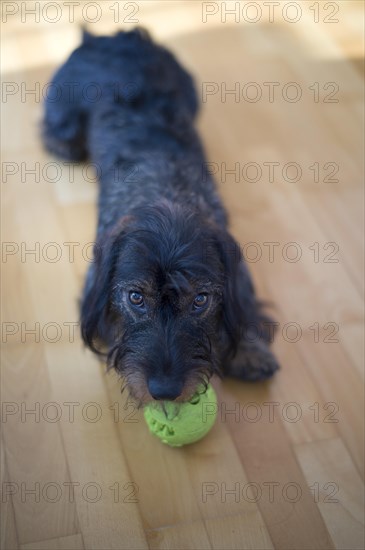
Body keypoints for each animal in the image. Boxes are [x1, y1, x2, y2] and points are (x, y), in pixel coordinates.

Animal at [41, 29, 278, 406]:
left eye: (200, 300)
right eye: (136, 298)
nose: (164, 391)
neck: (165, 191)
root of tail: (112, 37)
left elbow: (244, 303)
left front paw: (249, 350)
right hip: (65, 114)